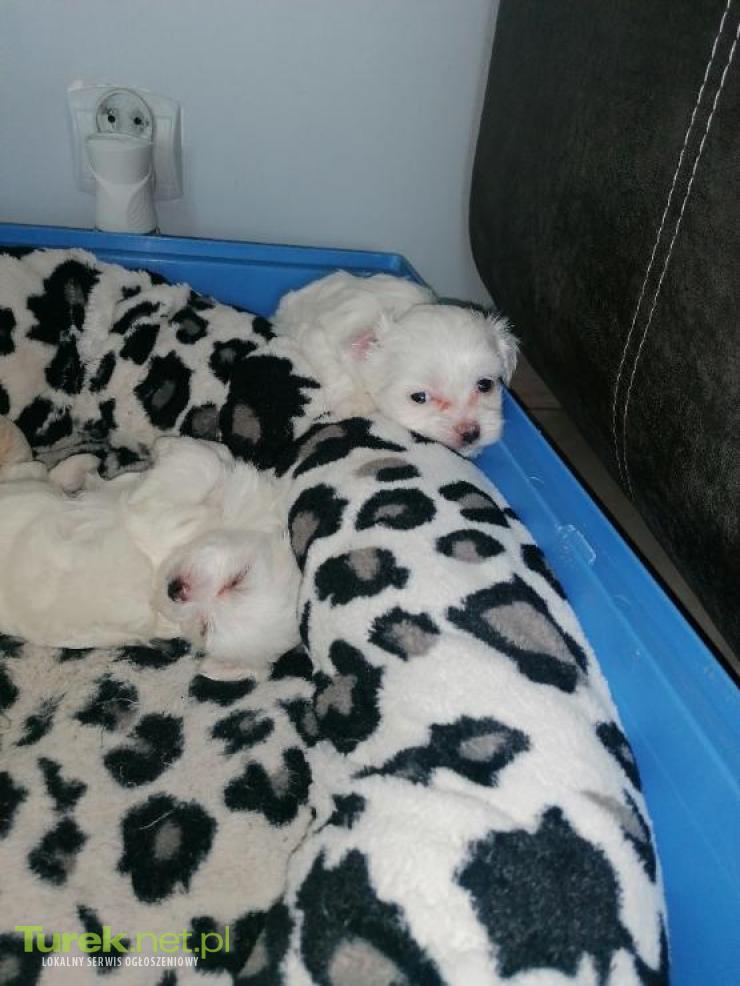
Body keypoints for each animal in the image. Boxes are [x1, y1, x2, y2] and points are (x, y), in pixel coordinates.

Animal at [0, 419, 300, 677]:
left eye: (204, 628)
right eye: (238, 580)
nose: (176, 591)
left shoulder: (156, 516)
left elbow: (195, 471)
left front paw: (172, 448)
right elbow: (213, 459)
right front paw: (183, 446)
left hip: (24, 487)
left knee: (25, 469)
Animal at [271, 271, 518, 456]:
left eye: (485, 385)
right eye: (419, 398)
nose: (470, 432)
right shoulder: (316, 338)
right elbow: (336, 371)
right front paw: (354, 403)